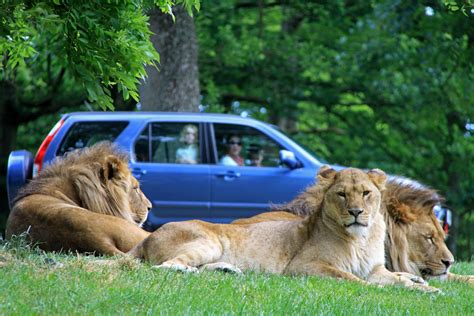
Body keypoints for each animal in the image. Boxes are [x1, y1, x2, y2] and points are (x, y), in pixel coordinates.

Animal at [129, 167, 436, 292]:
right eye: (342, 195)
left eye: (366, 193)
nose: (356, 212)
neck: (361, 238)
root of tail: (147, 237)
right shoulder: (304, 267)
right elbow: (353, 279)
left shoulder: (375, 269)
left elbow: (396, 278)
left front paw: (424, 287)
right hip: (208, 242)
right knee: (166, 266)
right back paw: (189, 271)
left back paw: (228, 270)